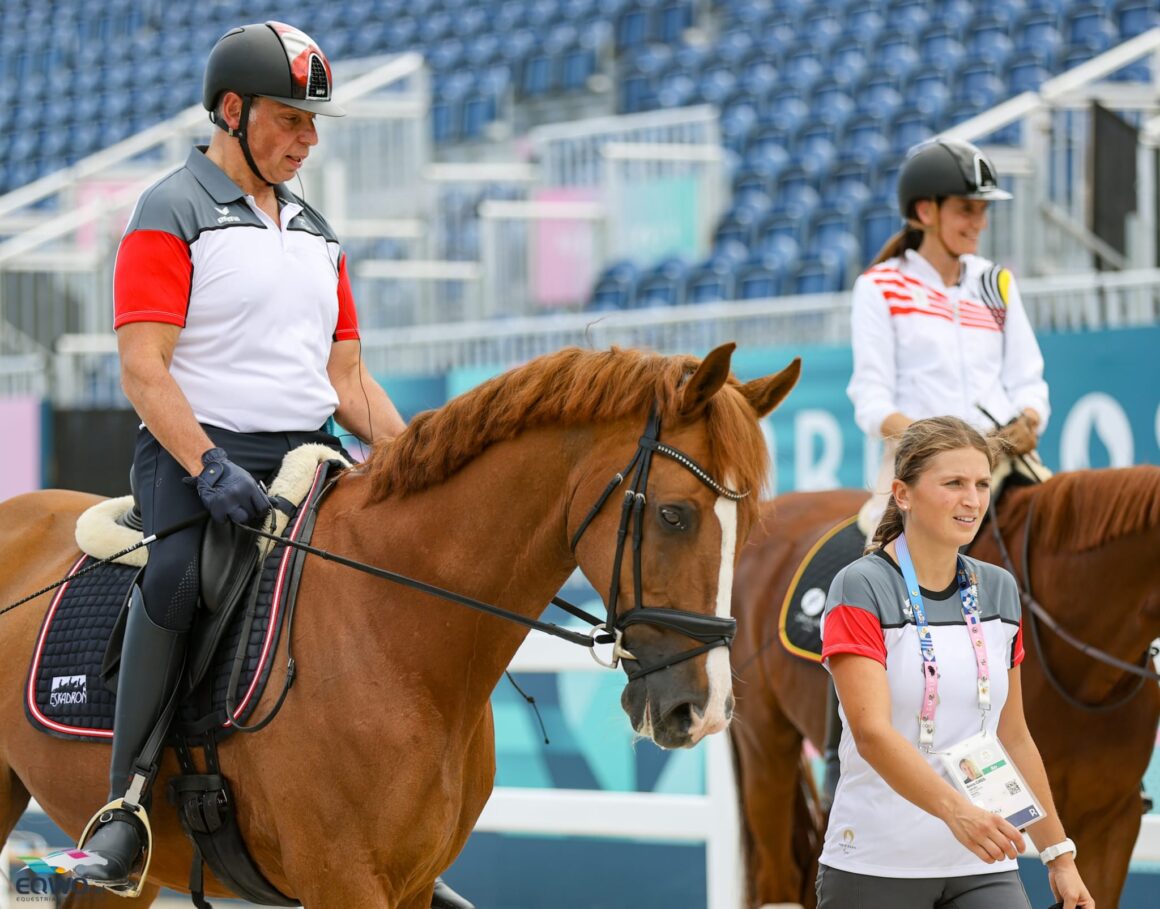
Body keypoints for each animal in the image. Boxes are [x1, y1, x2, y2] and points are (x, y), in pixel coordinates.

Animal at [0, 343, 798, 908]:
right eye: (674, 514)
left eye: (751, 524)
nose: (702, 711)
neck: (395, 632)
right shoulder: (341, 881)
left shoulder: (410, 884)